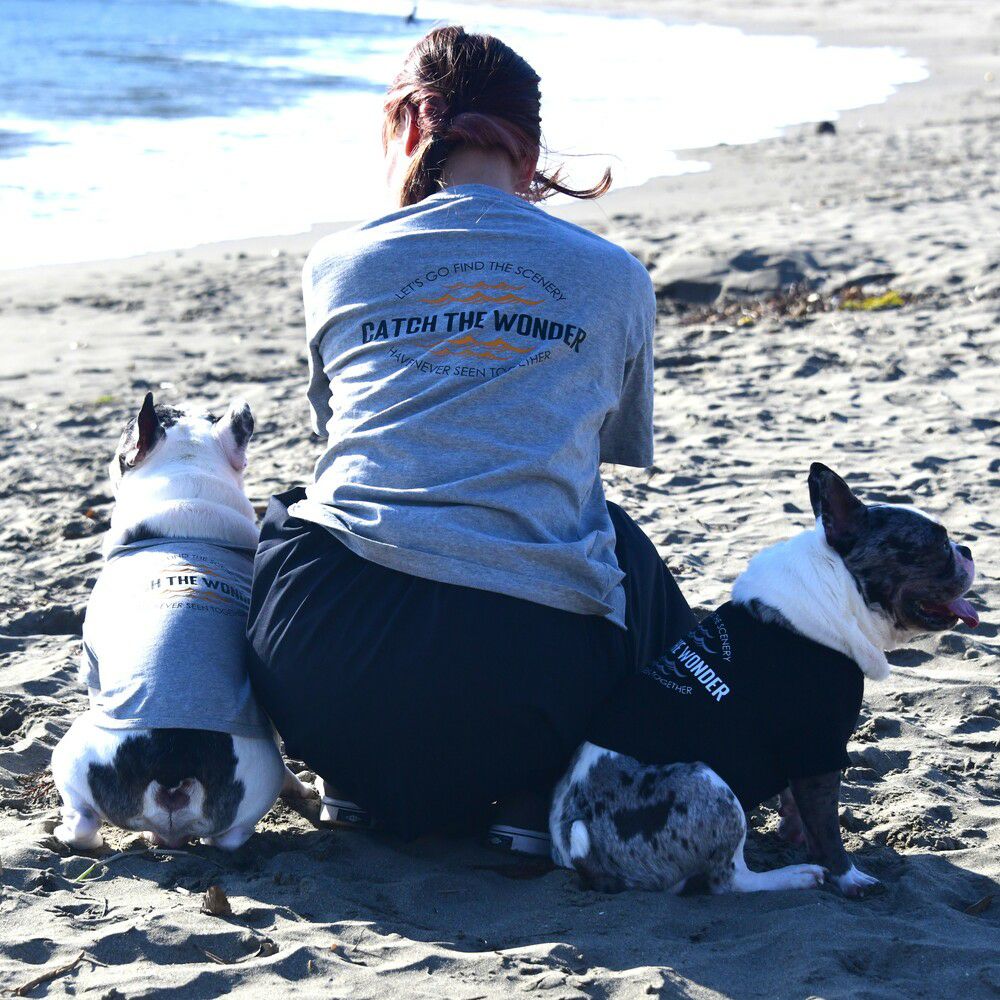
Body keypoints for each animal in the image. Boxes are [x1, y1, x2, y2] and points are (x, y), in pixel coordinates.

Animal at [52, 393, 308, 851]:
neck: (190, 484)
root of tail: (174, 769)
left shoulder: (92, 663)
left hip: (70, 753)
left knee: (82, 824)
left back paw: (69, 832)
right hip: (259, 778)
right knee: (230, 838)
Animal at [550, 463, 980, 897]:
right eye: (938, 544)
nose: (967, 549)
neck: (837, 587)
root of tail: (579, 848)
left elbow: (800, 806)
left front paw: (794, 831)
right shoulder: (818, 746)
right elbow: (828, 829)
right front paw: (848, 877)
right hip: (711, 785)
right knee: (730, 880)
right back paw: (794, 876)